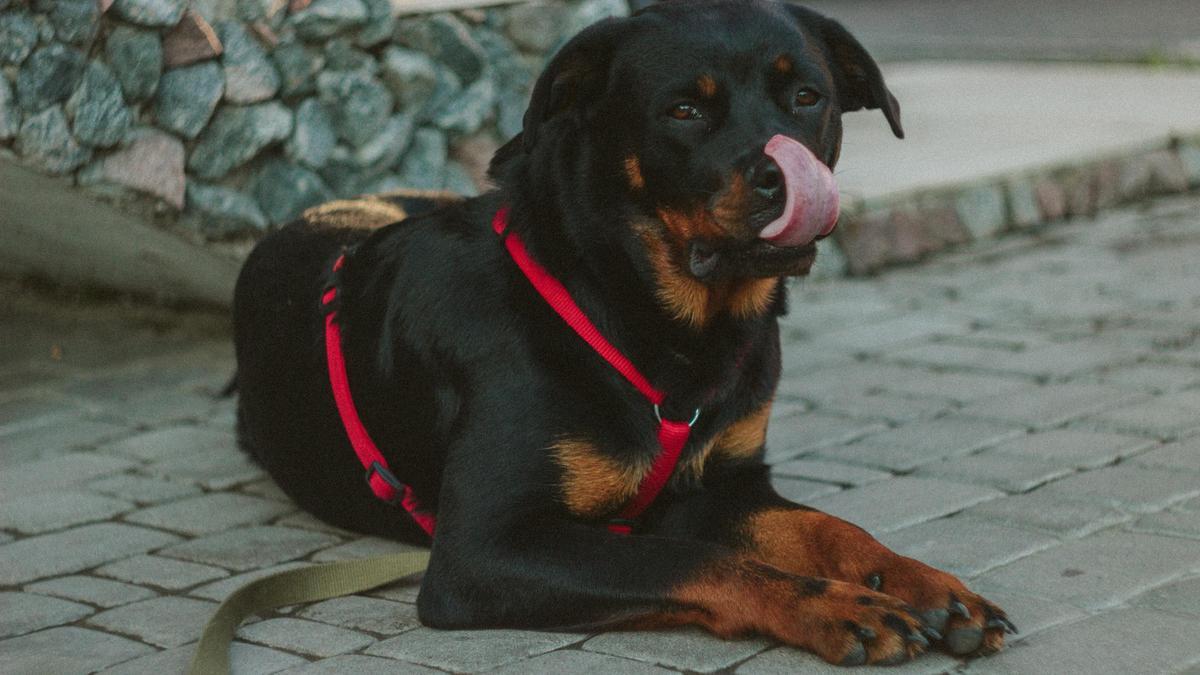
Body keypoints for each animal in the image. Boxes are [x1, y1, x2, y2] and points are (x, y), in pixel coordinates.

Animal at [234, 0, 1012, 662]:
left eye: (806, 98)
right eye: (684, 110)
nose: (780, 176)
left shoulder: (727, 483)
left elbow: (829, 526)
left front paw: (923, 582)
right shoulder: (483, 548)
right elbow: (697, 558)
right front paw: (836, 605)